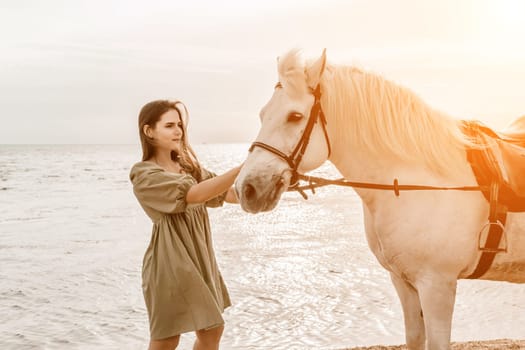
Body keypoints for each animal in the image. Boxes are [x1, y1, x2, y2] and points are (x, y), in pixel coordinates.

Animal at [234, 49, 524, 350]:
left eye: (294, 116)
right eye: (263, 115)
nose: (247, 188)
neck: (422, 183)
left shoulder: (437, 285)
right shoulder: (404, 282)